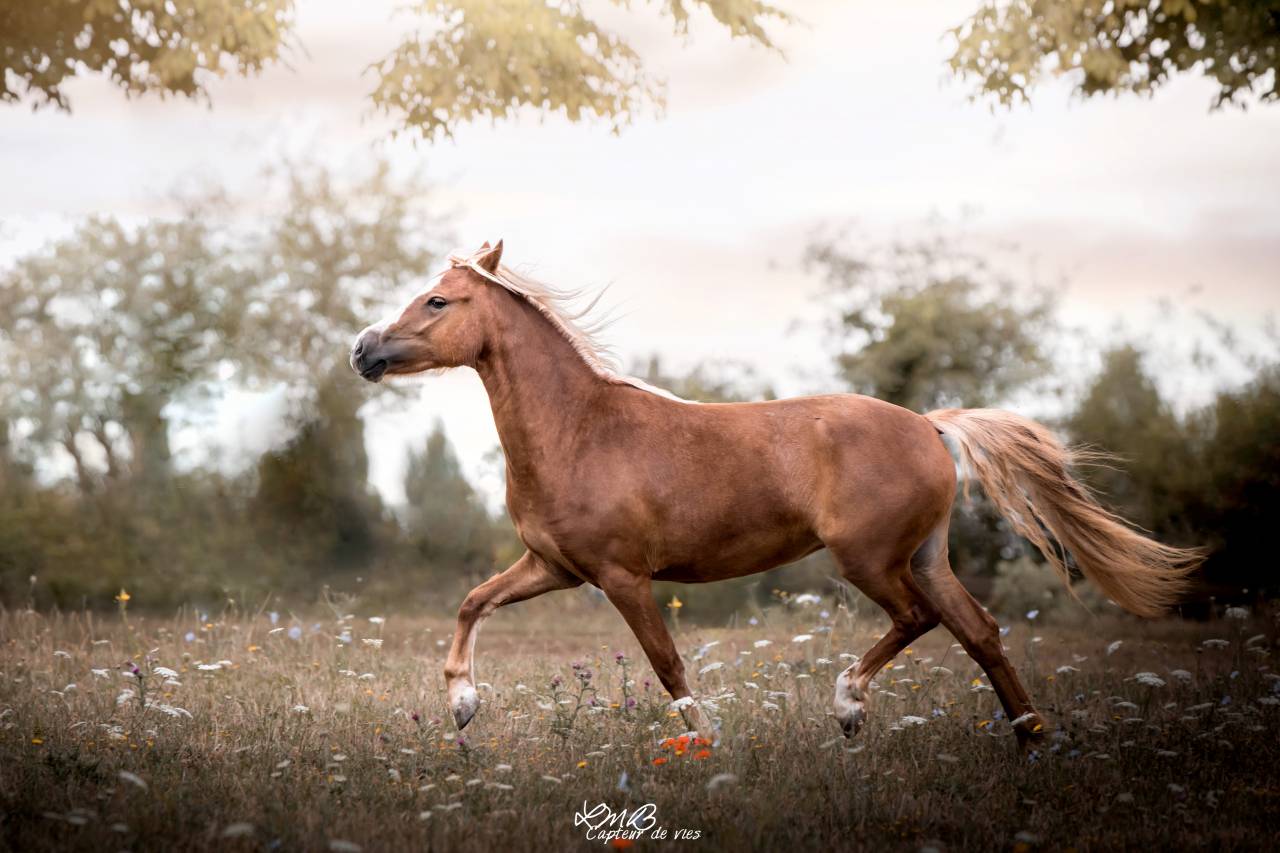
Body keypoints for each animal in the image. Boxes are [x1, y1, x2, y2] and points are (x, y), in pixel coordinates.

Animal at [349, 241, 1201, 746]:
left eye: (436, 301)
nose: (363, 350)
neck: (581, 429)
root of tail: (931, 426)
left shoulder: (623, 577)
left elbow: (668, 664)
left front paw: (705, 741)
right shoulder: (554, 567)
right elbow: (472, 601)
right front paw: (463, 704)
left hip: (870, 560)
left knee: (918, 621)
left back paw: (849, 706)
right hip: (927, 557)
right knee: (980, 631)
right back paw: (1029, 735)